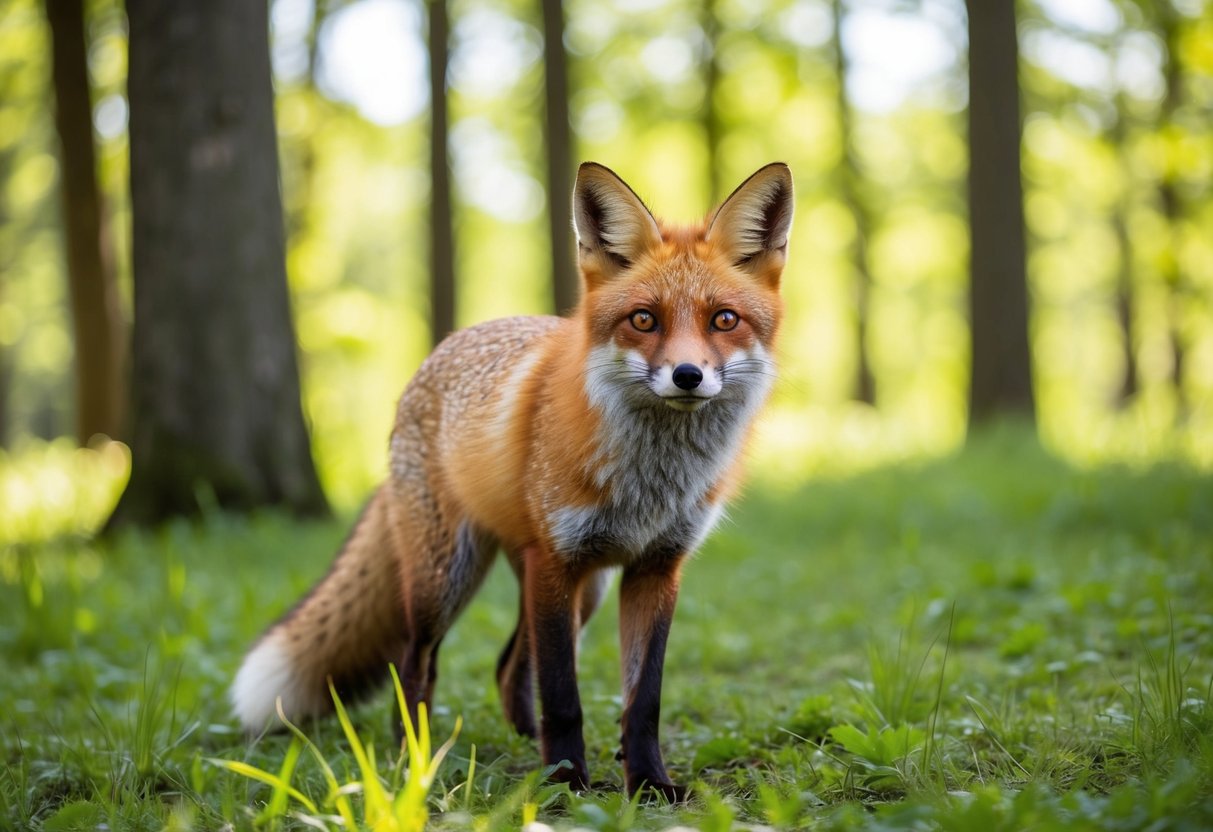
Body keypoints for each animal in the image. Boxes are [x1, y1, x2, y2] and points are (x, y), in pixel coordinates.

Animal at [231, 161, 794, 799]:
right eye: (644, 320)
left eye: (724, 320)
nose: (688, 375)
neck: (652, 482)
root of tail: (441, 350)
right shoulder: (555, 561)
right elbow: (564, 696)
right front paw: (567, 783)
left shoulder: (655, 569)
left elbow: (641, 701)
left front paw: (648, 782)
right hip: (448, 579)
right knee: (416, 663)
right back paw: (416, 758)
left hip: (580, 590)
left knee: (507, 668)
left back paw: (525, 744)